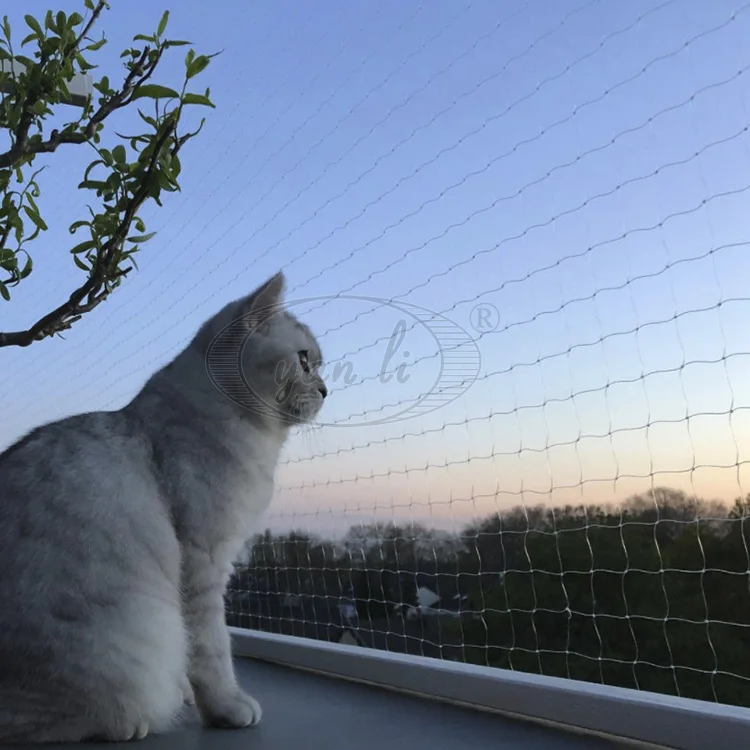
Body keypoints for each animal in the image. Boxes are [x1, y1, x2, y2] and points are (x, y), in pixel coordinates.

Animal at [0, 272, 326, 748]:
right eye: (305, 361)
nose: (325, 390)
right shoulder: (205, 562)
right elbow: (212, 649)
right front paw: (227, 708)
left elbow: (196, 659)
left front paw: (192, 698)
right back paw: (131, 724)